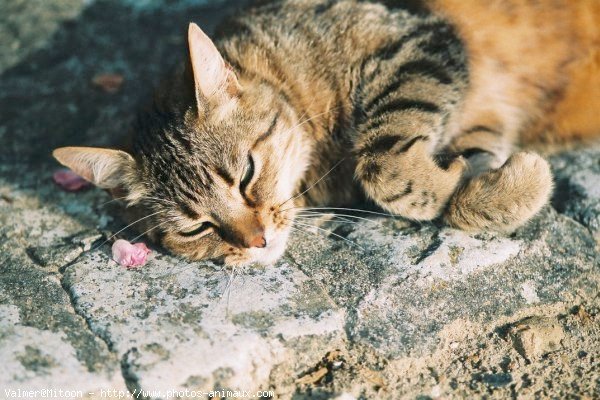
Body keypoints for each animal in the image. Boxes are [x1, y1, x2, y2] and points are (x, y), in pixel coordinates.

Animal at [52, 1, 600, 268]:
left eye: (246, 175)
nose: (257, 242)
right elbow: (458, 174)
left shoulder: (419, 41)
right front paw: (503, 187)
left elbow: (383, 165)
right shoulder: (476, 114)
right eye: (194, 229)